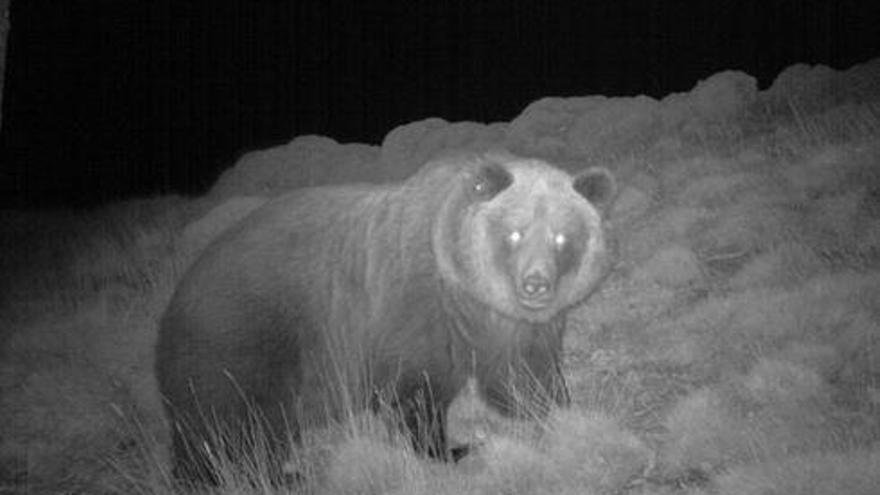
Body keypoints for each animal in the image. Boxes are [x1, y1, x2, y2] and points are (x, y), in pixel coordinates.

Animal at [155, 152, 616, 484]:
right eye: (515, 232)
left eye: (562, 236)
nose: (535, 284)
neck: (465, 292)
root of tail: (174, 299)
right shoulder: (411, 310)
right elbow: (415, 392)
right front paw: (453, 449)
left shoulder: (511, 326)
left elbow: (523, 376)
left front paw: (561, 410)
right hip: (237, 345)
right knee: (233, 429)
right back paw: (272, 474)